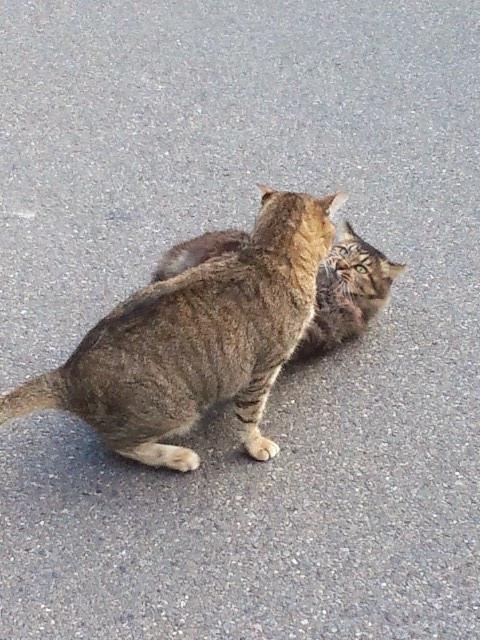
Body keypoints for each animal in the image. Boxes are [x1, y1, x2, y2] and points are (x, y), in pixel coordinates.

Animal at [0, 185, 346, 472]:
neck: (269, 254)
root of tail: (68, 374)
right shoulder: (264, 368)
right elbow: (250, 416)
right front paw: (256, 444)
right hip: (178, 411)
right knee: (119, 445)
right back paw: (178, 457)